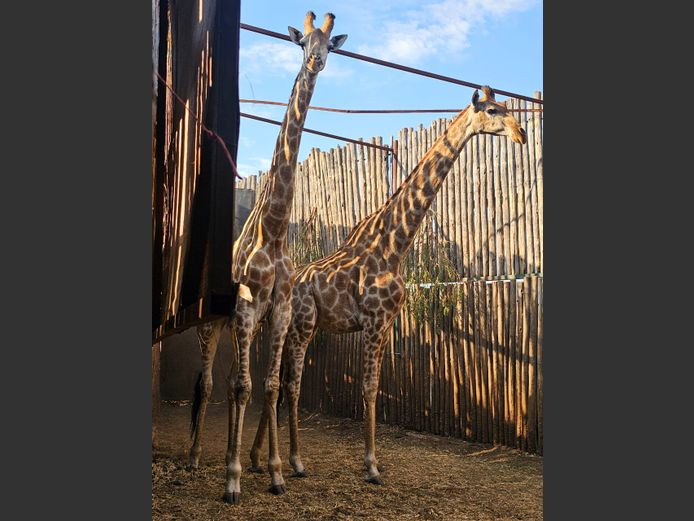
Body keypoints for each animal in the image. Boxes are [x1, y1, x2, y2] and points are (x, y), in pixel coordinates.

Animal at [186, 11, 348, 504]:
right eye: (302, 43)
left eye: (330, 45)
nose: (315, 63)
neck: (274, 231)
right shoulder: (245, 307)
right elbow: (241, 386)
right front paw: (233, 479)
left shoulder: (277, 311)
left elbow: (271, 387)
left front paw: (276, 472)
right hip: (212, 323)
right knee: (209, 382)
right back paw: (195, 458)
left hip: (247, 326)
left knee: (237, 383)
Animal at [250, 86, 527, 485]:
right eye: (492, 110)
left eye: (505, 105)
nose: (521, 134)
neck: (393, 245)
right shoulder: (375, 321)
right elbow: (368, 387)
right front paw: (371, 466)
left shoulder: (387, 323)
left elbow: (375, 387)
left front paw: (371, 463)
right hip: (303, 325)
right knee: (292, 384)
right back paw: (296, 462)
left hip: (296, 327)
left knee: (280, 379)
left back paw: (258, 458)